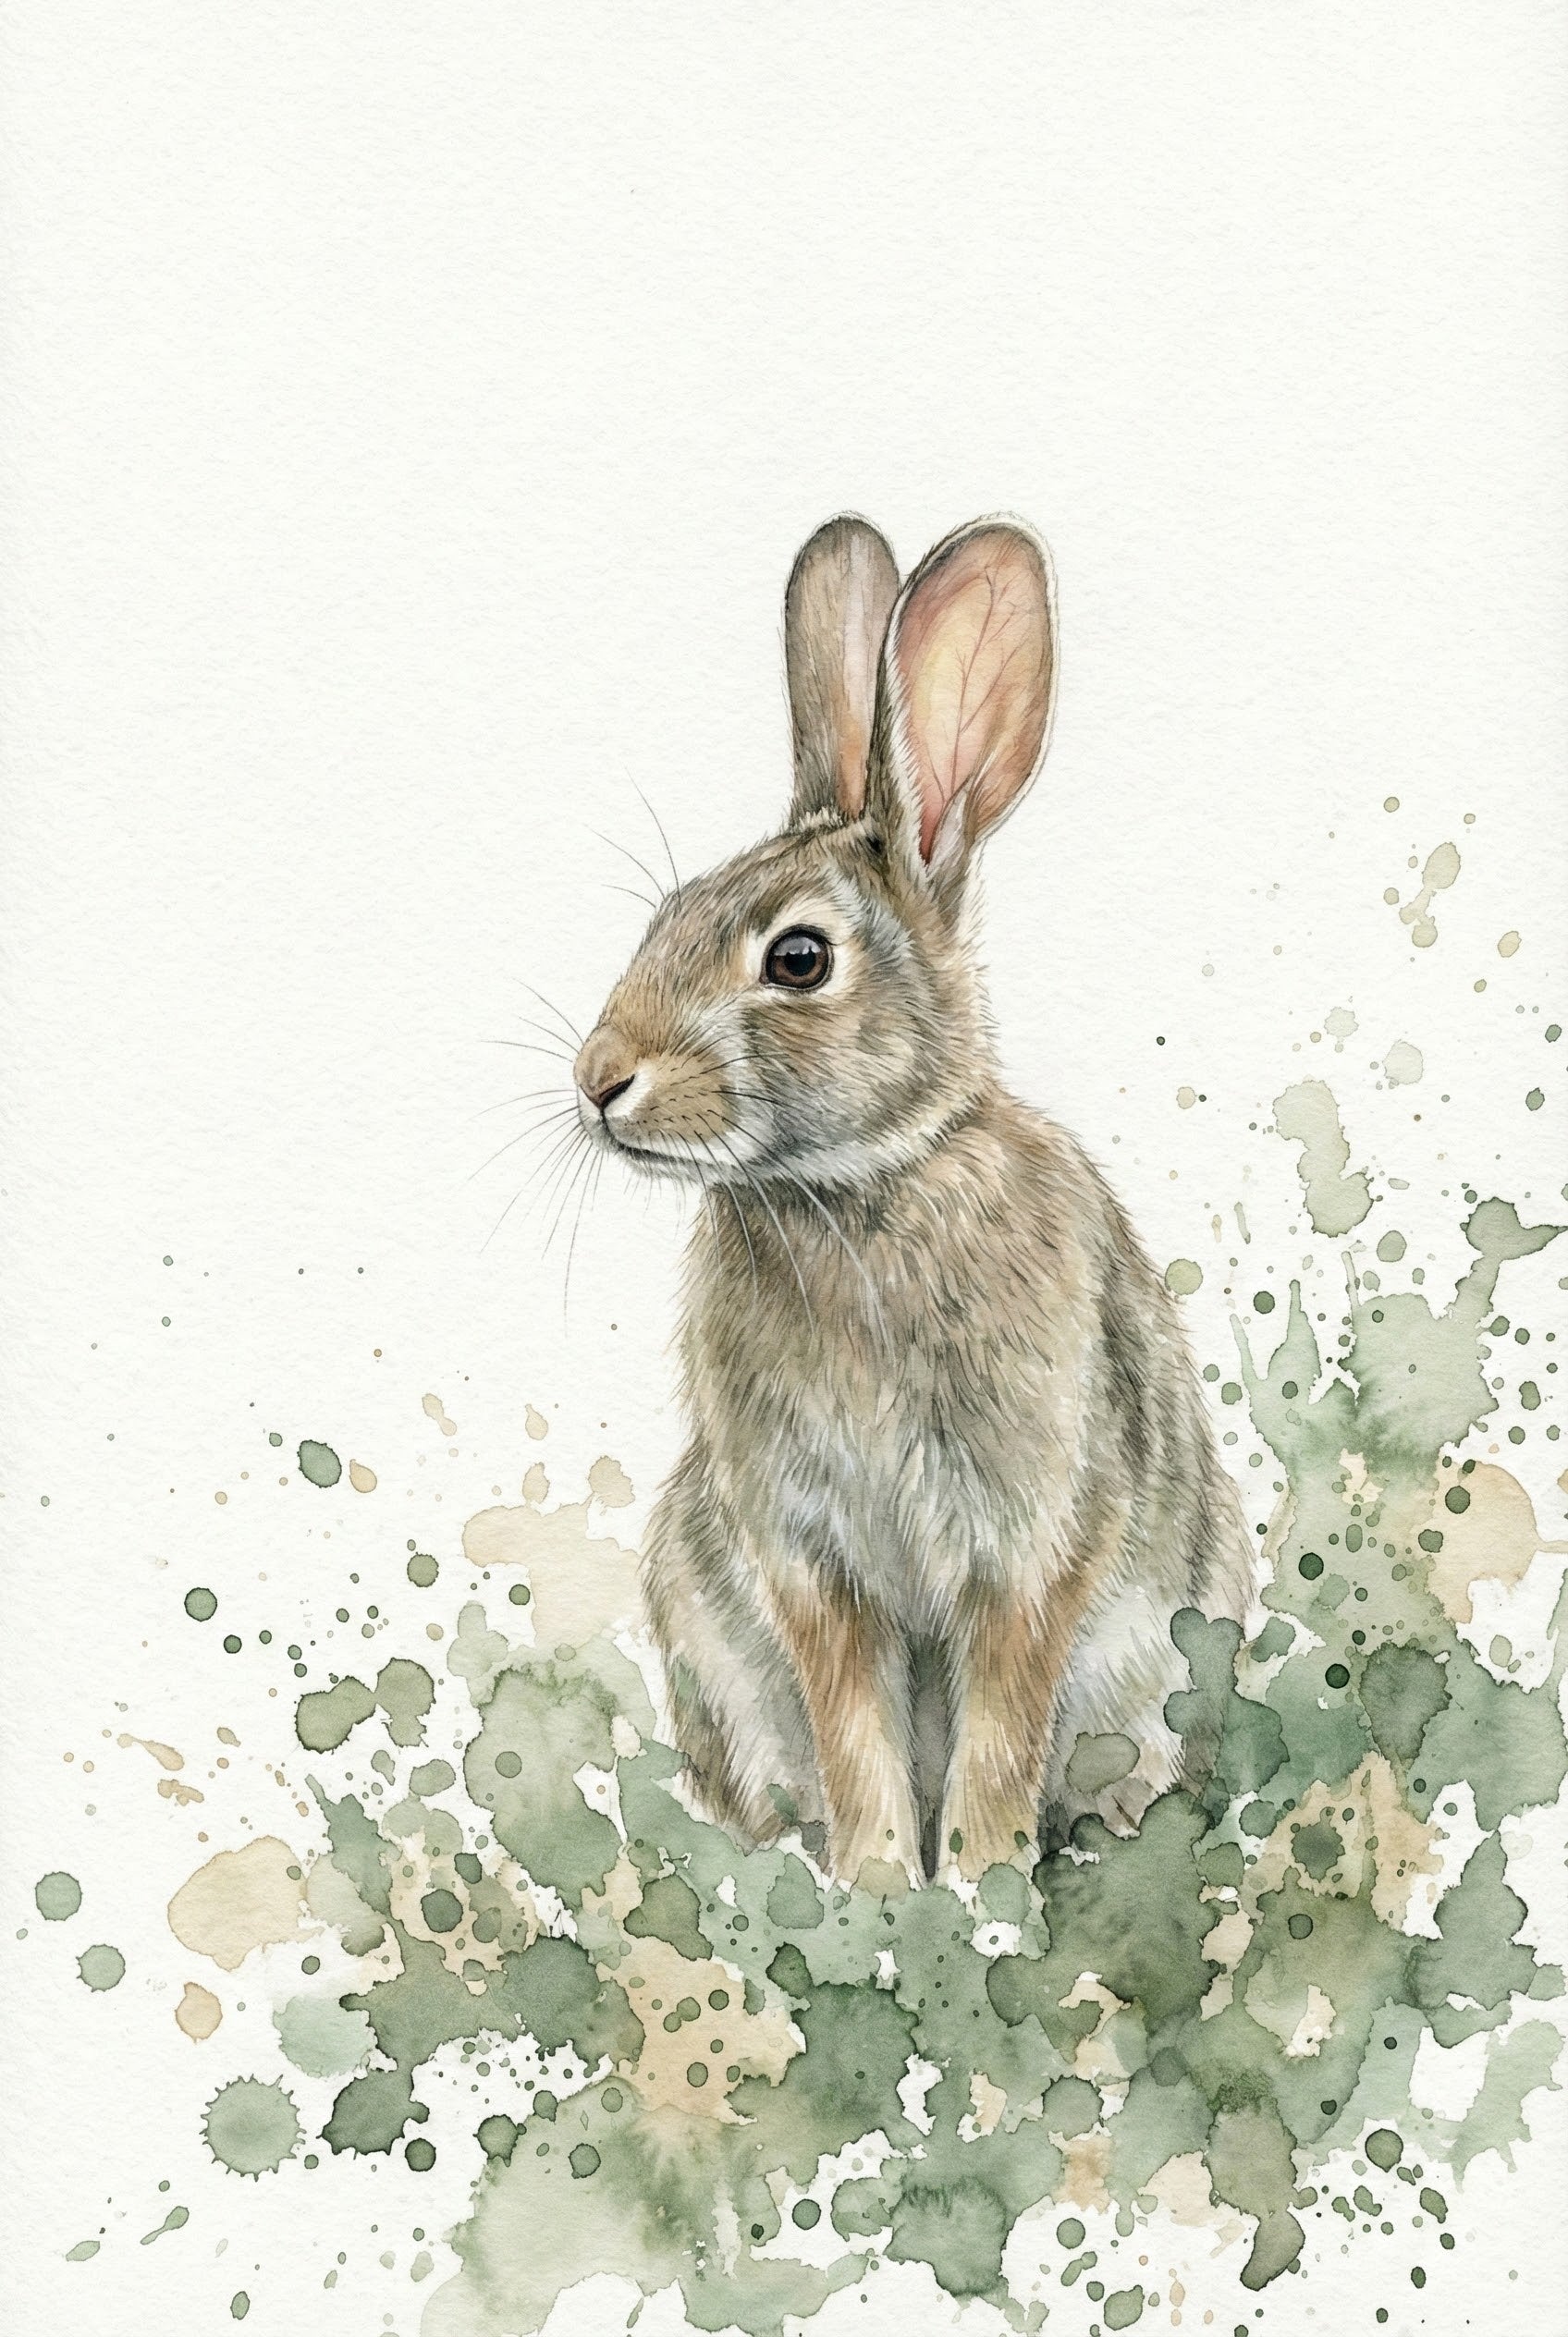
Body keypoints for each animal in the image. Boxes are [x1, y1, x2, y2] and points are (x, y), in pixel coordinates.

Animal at [571, 513, 1255, 1885]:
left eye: (798, 958)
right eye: (664, 918)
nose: (599, 1079)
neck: (862, 1185)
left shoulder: (1033, 1537)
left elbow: (997, 1734)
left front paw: (981, 1891)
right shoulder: (807, 1557)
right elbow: (857, 1734)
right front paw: (882, 1890)